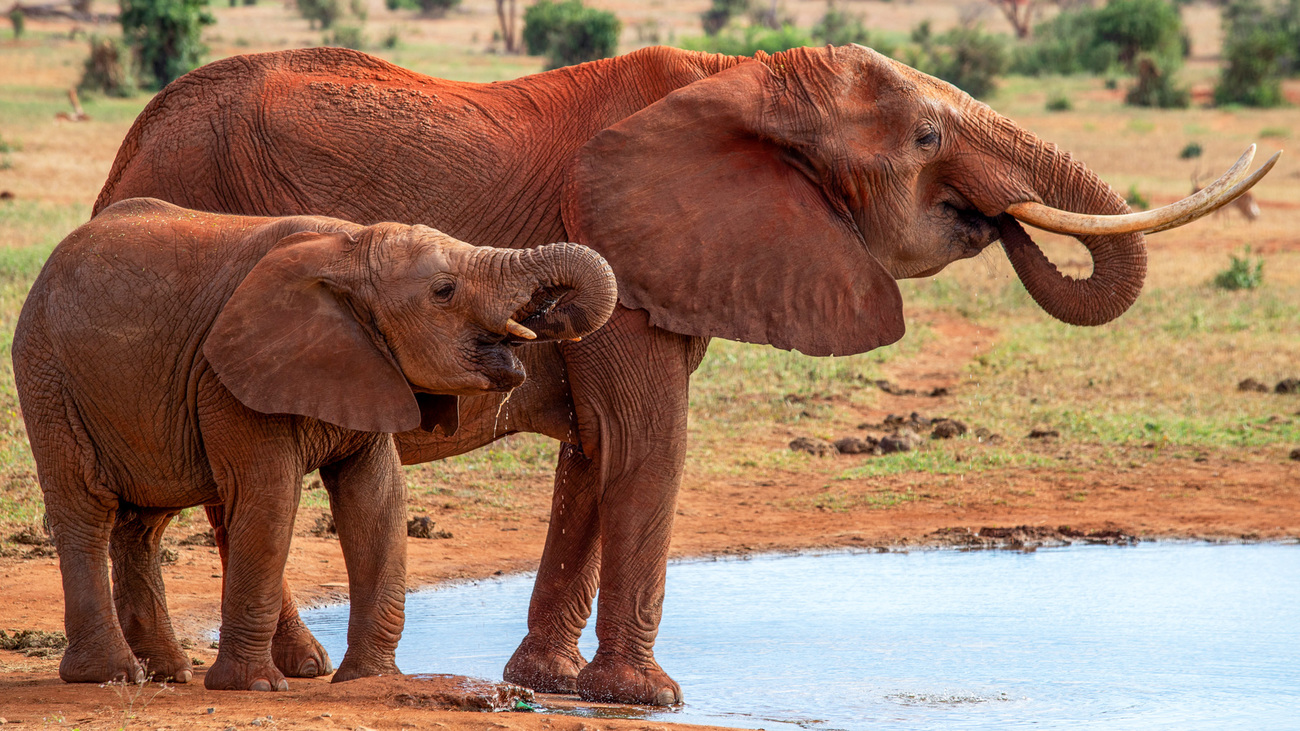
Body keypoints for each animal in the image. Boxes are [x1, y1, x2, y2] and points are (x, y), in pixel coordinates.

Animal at [12, 196, 616, 686]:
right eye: (444, 292)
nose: (549, 317)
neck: (348, 249)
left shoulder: (367, 364)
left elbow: (377, 500)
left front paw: (367, 680)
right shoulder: (229, 377)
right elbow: (270, 499)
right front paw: (256, 687)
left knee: (144, 523)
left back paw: (169, 674)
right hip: (49, 378)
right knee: (86, 507)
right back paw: (111, 675)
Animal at [96, 44, 1274, 702]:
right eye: (927, 136)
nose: (996, 219)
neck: (739, 83)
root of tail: (123, 159)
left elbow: (595, 450)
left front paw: (548, 685)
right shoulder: (623, 241)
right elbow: (646, 442)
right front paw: (650, 695)